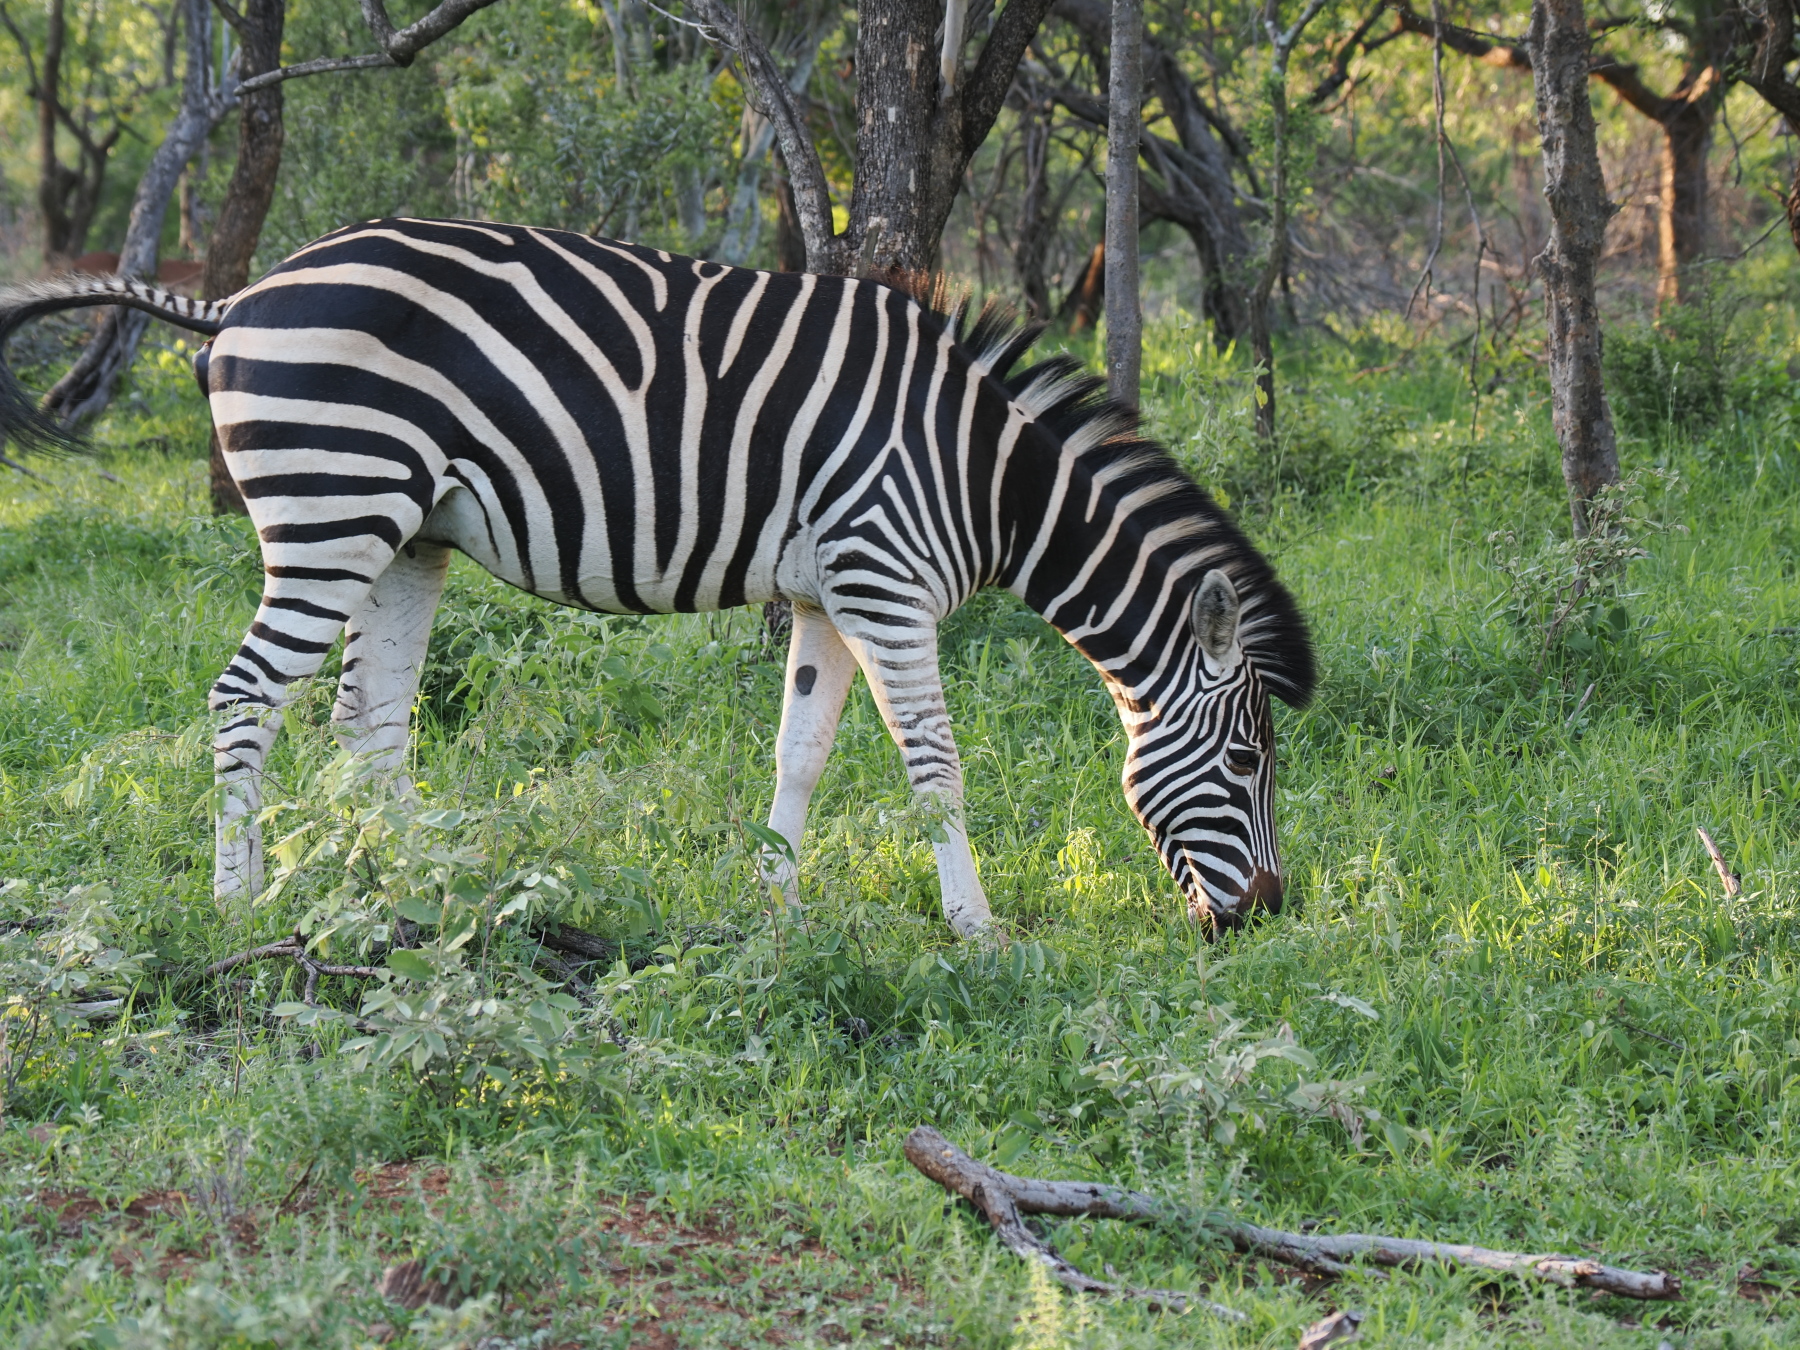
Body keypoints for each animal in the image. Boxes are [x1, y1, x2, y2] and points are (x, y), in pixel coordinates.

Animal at [0, 218, 1315, 936]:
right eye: (1245, 762)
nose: (1268, 914)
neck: (982, 473)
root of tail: (246, 291)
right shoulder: (884, 578)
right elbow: (935, 763)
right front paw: (977, 929)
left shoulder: (824, 594)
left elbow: (801, 753)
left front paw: (777, 913)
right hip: (336, 505)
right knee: (246, 696)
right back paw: (238, 901)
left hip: (408, 531)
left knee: (368, 721)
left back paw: (423, 891)